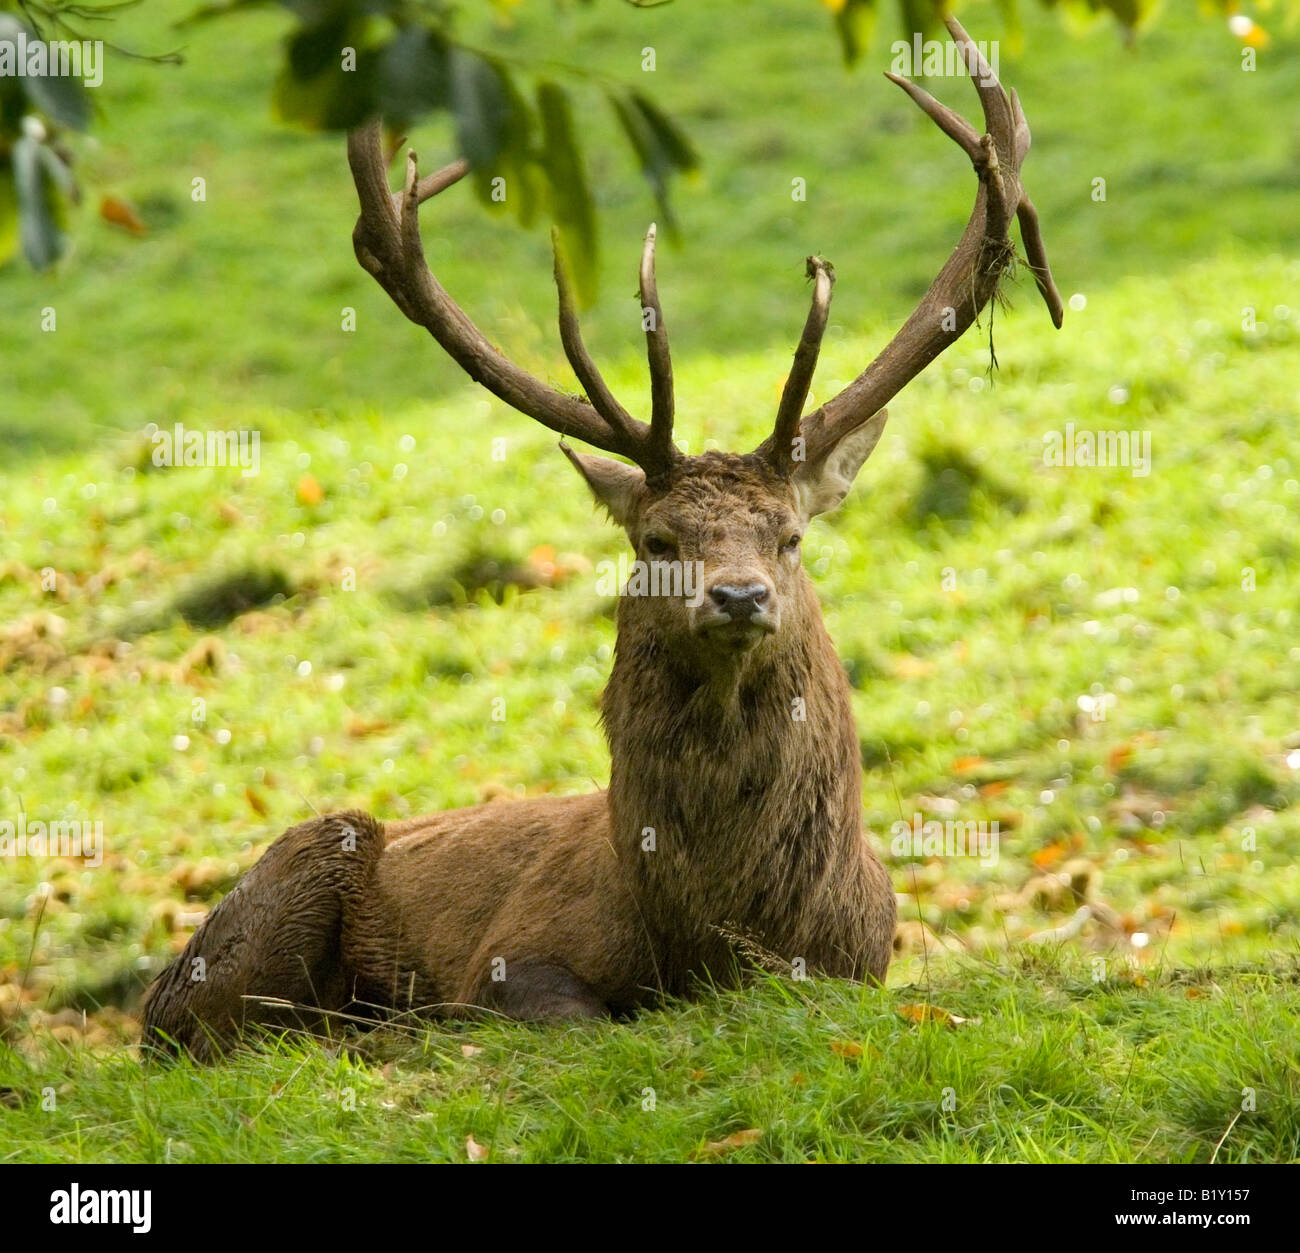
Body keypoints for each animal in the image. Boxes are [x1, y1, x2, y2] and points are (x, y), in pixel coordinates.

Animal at [141, 18, 1062, 1060]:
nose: (737, 595)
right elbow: (570, 1016)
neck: (715, 939)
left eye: (789, 536)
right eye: (658, 539)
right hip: (284, 881)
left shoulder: (859, 960)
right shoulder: (510, 955)